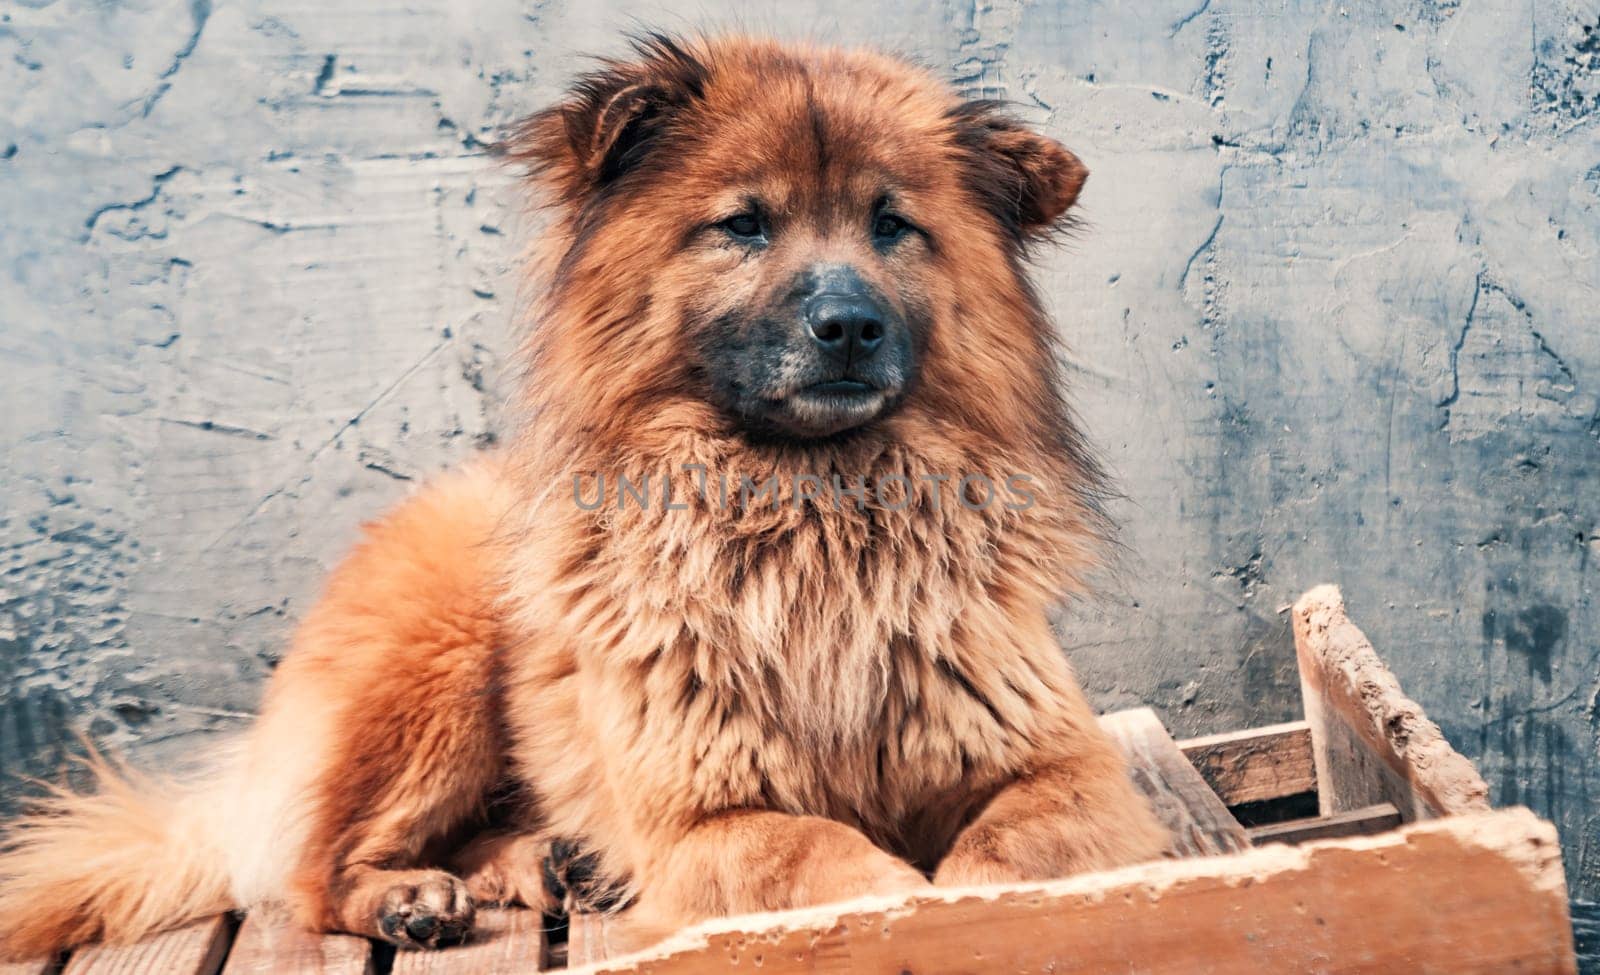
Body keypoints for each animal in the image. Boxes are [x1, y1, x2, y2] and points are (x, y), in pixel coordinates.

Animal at [0, 32, 1164, 960]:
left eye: (892, 227)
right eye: (744, 224)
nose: (849, 326)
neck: (804, 512)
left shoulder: (1065, 768)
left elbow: (1012, 850)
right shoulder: (705, 819)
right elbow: (823, 858)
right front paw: (901, 911)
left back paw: (555, 863)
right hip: (436, 662)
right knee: (311, 874)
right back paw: (413, 898)